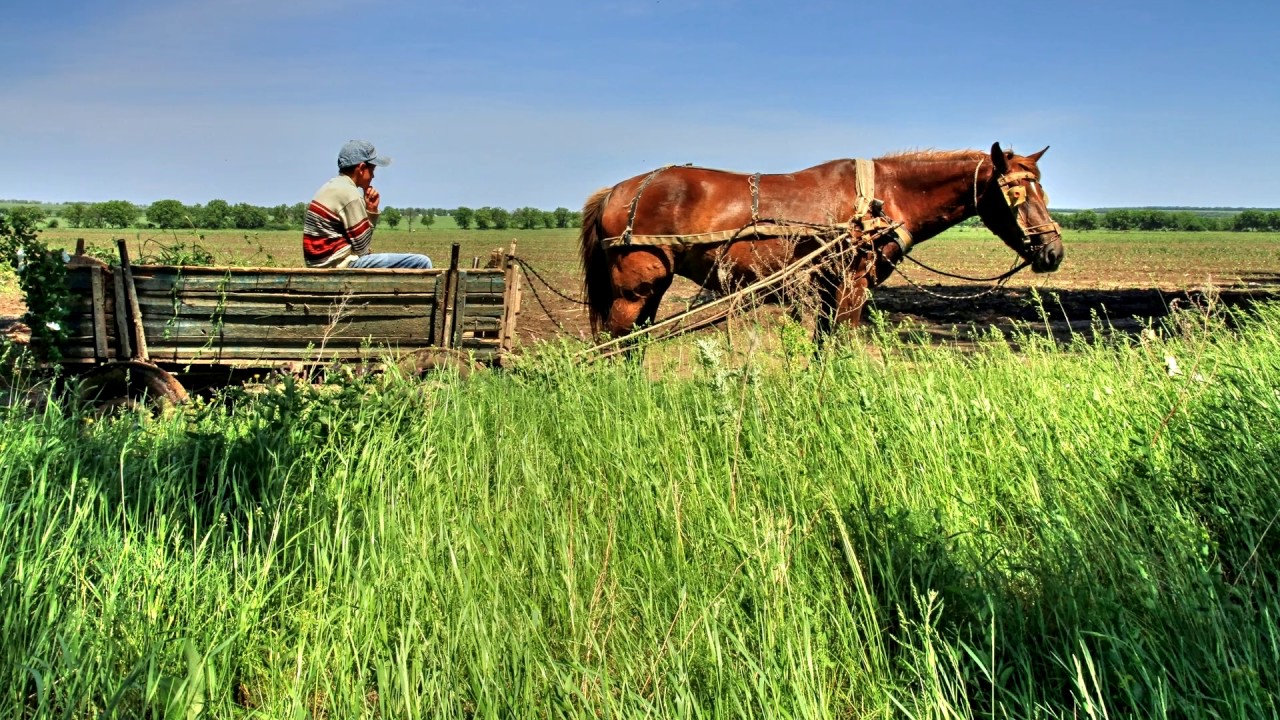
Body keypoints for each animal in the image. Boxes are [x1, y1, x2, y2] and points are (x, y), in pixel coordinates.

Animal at [578, 144, 1059, 340]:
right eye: (1016, 194)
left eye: (1043, 190)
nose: (1053, 251)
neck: (884, 198)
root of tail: (618, 190)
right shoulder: (852, 285)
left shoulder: (829, 289)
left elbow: (822, 347)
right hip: (636, 286)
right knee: (616, 341)